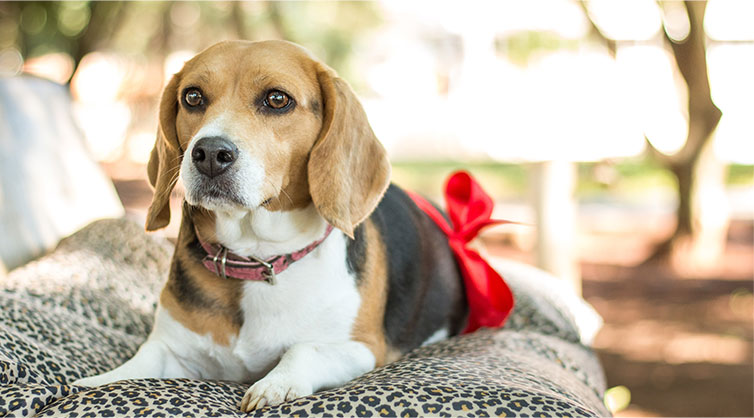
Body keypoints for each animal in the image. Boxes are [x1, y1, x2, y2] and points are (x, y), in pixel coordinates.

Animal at [75, 40, 464, 414]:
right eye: (192, 97)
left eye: (277, 99)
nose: (210, 153)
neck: (256, 257)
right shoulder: (173, 347)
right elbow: (138, 364)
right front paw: (93, 384)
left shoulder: (363, 348)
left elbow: (304, 349)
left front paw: (275, 384)